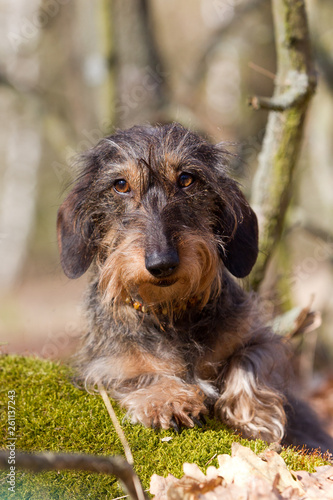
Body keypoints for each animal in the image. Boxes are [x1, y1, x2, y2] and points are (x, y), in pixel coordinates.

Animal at [57, 122, 332, 454]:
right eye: (120, 185)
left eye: (187, 179)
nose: (162, 263)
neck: (169, 311)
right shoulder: (106, 366)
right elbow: (142, 373)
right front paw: (169, 399)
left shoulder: (258, 339)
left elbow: (249, 360)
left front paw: (256, 418)